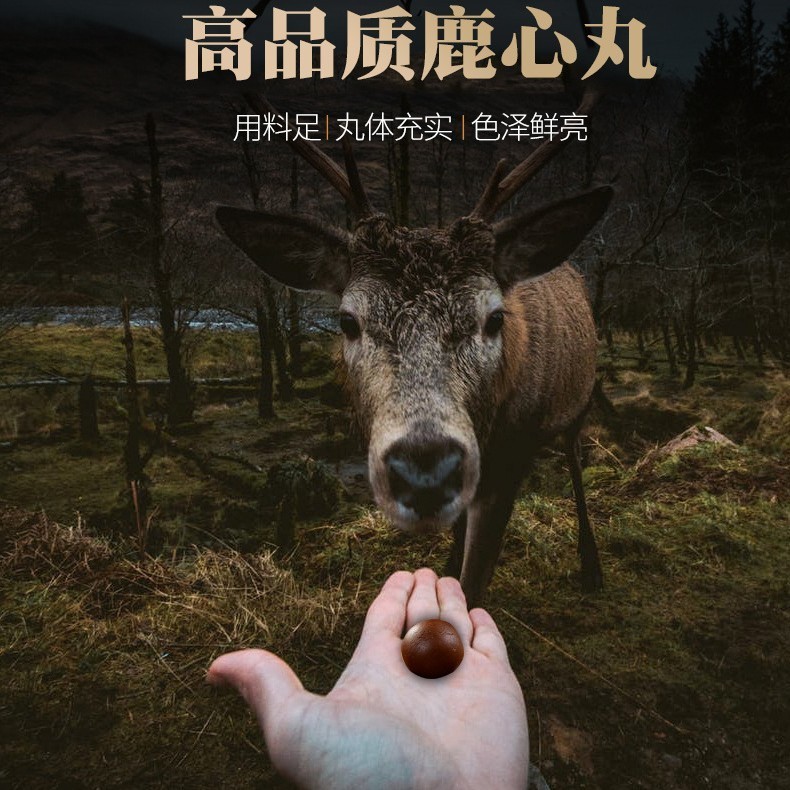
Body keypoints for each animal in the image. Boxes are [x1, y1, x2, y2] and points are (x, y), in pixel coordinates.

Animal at [217, 92, 611, 607]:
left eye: (495, 317)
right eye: (347, 321)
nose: (425, 469)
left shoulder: (512, 457)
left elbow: (475, 585)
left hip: (580, 400)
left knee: (576, 461)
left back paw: (591, 564)